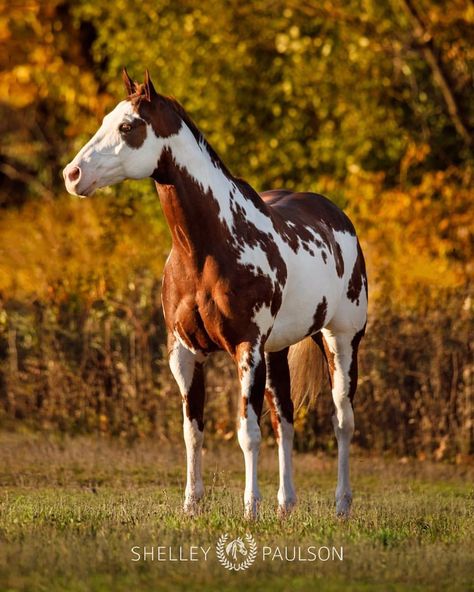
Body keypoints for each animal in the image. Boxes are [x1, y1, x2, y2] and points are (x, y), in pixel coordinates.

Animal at [64, 69, 366, 520]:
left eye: (128, 127)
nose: (72, 175)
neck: (207, 248)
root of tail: (337, 217)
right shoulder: (185, 352)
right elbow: (193, 432)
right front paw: (192, 505)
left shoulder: (246, 349)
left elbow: (247, 433)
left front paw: (250, 509)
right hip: (278, 350)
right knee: (286, 420)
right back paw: (286, 505)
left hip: (340, 339)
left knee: (342, 420)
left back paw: (341, 505)